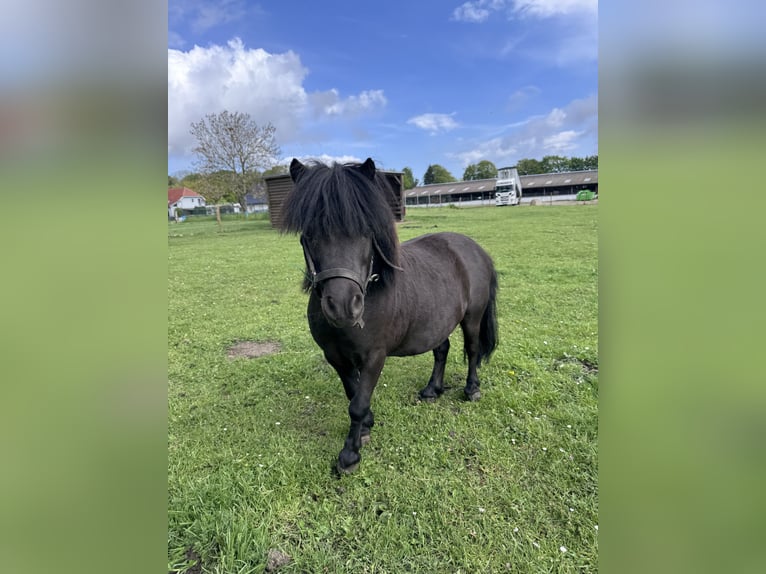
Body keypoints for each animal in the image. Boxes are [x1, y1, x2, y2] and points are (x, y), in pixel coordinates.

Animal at [282, 158, 498, 473]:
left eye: (365, 231)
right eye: (309, 233)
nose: (344, 306)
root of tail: (475, 248)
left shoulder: (375, 356)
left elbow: (357, 403)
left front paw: (350, 454)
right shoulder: (335, 356)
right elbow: (353, 393)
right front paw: (366, 426)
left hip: (472, 317)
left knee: (471, 349)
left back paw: (471, 390)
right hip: (437, 321)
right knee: (441, 350)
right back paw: (432, 390)